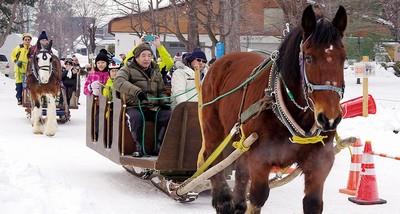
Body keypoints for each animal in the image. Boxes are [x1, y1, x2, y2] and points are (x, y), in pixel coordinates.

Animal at [202, 5, 348, 214]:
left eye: (343, 58)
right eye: (309, 58)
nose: (330, 118)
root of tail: (220, 61)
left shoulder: (320, 161)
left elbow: (313, 203)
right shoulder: (260, 158)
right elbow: (257, 198)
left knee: (240, 169)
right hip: (212, 124)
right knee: (212, 158)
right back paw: (222, 199)